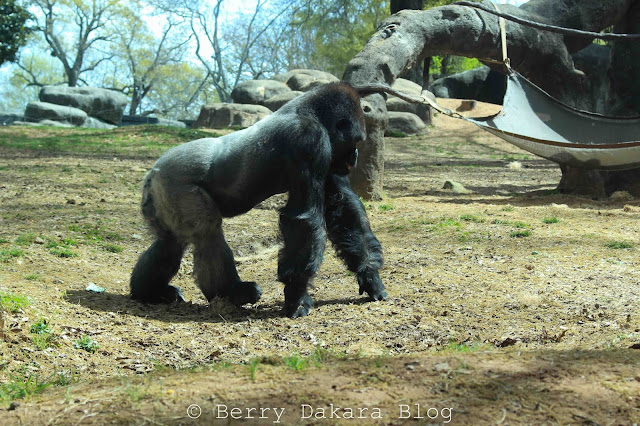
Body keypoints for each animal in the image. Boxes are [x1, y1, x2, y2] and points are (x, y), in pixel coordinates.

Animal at [131, 82, 384, 316]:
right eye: (355, 141)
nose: (355, 157)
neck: (312, 112)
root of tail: (151, 173)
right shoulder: (310, 140)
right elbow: (305, 217)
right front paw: (297, 295)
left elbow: (343, 209)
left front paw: (369, 275)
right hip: (175, 183)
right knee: (207, 233)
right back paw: (232, 292)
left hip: (161, 192)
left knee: (169, 244)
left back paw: (149, 292)